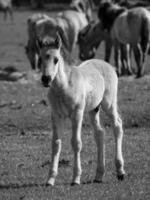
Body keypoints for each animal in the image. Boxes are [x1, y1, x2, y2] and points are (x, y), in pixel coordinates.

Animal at [37, 33, 125, 186]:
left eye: (56, 59)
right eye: (41, 59)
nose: (46, 79)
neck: (64, 87)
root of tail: (107, 64)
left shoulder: (77, 113)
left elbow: (76, 143)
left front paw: (76, 178)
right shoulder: (56, 115)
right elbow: (56, 144)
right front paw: (50, 179)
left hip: (109, 104)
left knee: (117, 126)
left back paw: (120, 171)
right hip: (93, 109)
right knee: (99, 133)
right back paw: (98, 175)